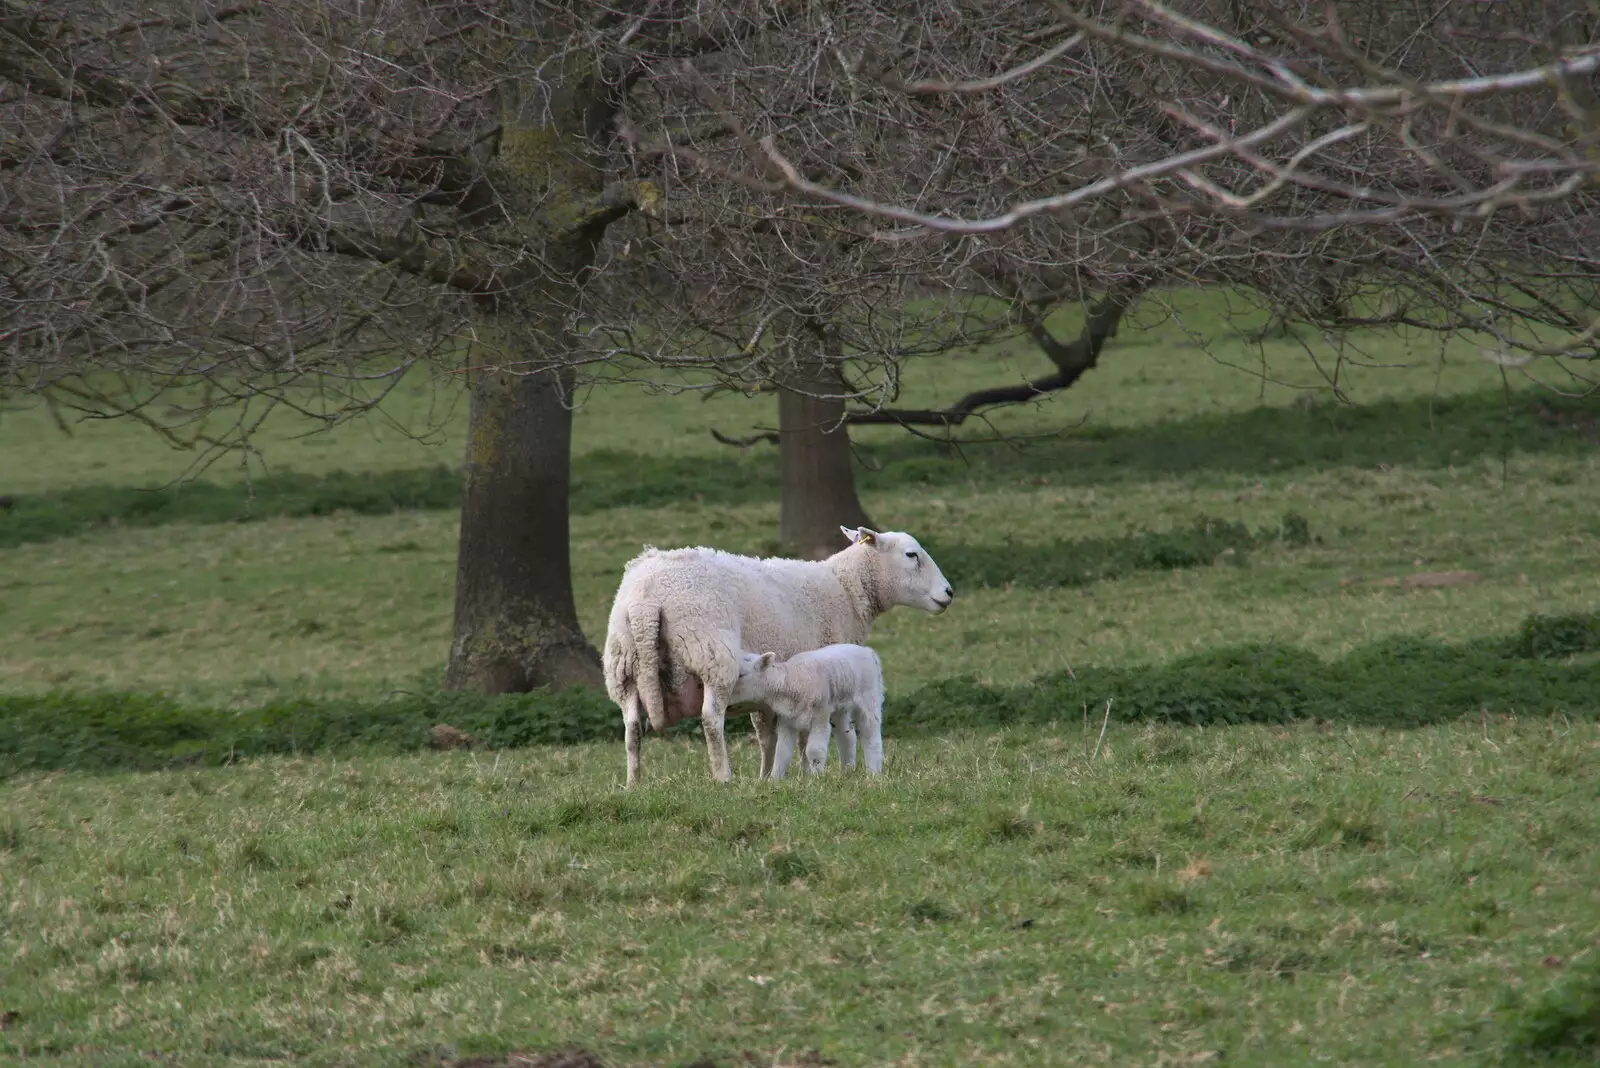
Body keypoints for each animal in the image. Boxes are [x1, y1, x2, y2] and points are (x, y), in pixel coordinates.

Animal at [732, 645, 896, 780]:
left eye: (742, 675)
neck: (792, 681)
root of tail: (869, 651)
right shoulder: (787, 720)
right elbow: (782, 751)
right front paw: (775, 779)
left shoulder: (820, 715)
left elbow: (814, 750)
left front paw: (816, 778)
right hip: (840, 706)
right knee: (847, 736)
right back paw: (847, 770)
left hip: (870, 695)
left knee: (871, 734)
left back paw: (873, 773)